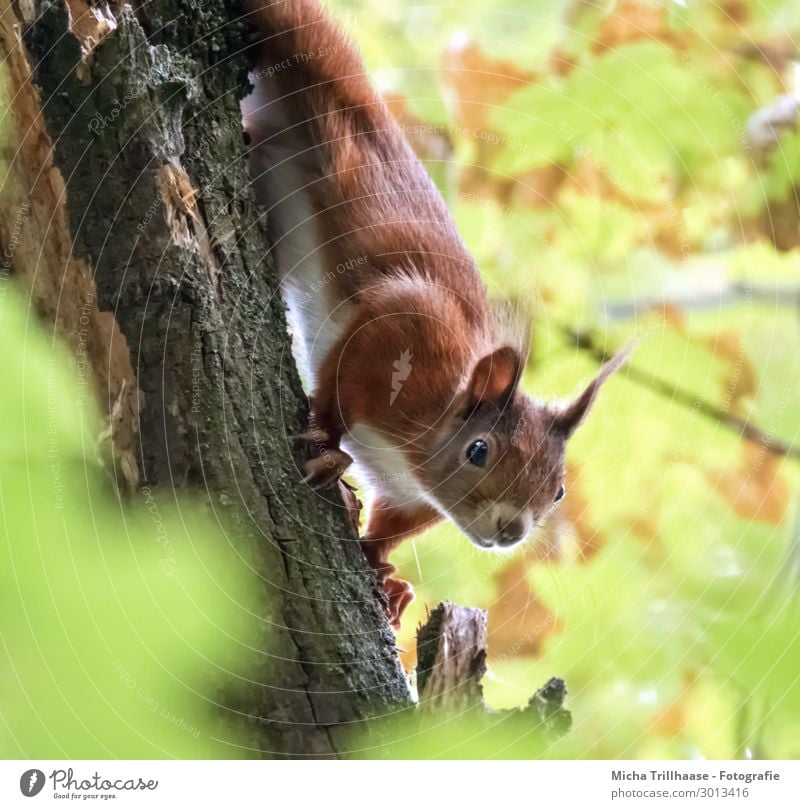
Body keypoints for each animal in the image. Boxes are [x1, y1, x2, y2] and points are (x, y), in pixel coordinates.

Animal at [241, 0, 628, 624]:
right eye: (479, 450)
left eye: (559, 490)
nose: (510, 529)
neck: (418, 449)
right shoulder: (407, 329)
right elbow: (341, 381)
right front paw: (326, 445)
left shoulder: (412, 496)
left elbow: (391, 526)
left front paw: (385, 574)